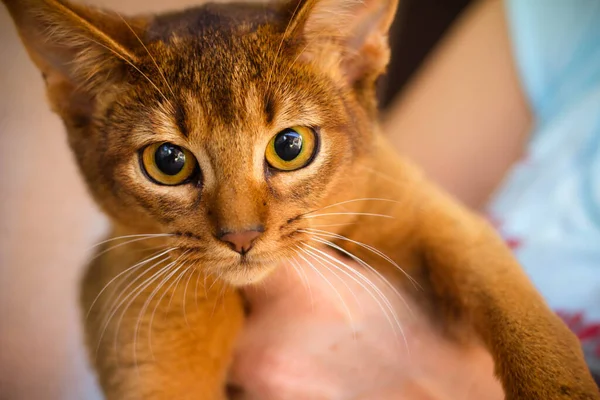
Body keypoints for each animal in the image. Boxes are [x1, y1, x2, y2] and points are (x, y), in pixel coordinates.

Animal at [4, 0, 600, 398]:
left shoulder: (434, 213)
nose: (241, 237)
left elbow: (514, 306)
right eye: (168, 162)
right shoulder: (133, 305)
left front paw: (559, 385)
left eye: (290, 146)